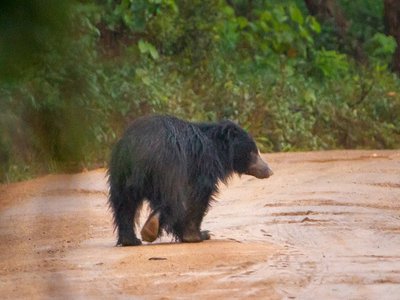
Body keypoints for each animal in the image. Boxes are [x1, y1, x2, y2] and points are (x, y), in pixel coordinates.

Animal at [108, 115, 274, 246]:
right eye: (253, 152)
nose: (269, 171)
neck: (218, 148)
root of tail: (138, 147)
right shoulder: (202, 165)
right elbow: (199, 196)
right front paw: (197, 235)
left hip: (120, 172)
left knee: (124, 204)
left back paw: (130, 240)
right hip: (169, 167)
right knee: (173, 200)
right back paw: (151, 228)